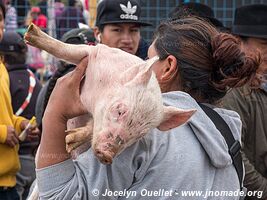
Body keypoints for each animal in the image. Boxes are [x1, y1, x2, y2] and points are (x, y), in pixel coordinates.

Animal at [24, 23, 197, 164]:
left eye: (140, 135)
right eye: (119, 110)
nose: (108, 155)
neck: (92, 98)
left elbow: (91, 127)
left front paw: (70, 140)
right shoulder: (95, 52)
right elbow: (68, 51)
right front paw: (30, 33)